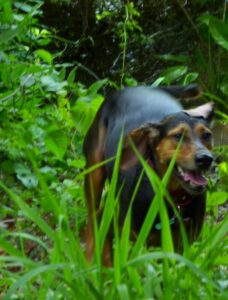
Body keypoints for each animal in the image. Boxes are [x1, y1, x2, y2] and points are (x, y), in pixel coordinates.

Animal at [83, 84, 214, 264]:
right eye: (178, 136)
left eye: (207, 135)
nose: (206, 159)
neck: (171, 199)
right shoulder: (108, 219)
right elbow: (107, 256)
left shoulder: (180, 248)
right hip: (94, 171)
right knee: (91, 217)